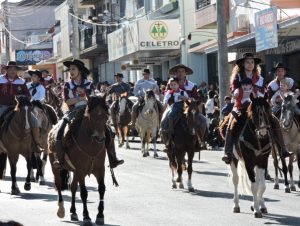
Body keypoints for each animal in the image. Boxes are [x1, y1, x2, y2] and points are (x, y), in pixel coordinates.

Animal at [48, 96, 110, 226]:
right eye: (91, 116)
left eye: (106, 116)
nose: (100, 138)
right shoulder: (81, 170)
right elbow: (84, 193)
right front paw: (86, 217)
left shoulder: (100, 169)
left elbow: (101, 189)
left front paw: (100, 215)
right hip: (55, 165)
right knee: (59, 184)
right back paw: (61, 210)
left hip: (75, 171)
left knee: (72, 187)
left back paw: (74, 212)